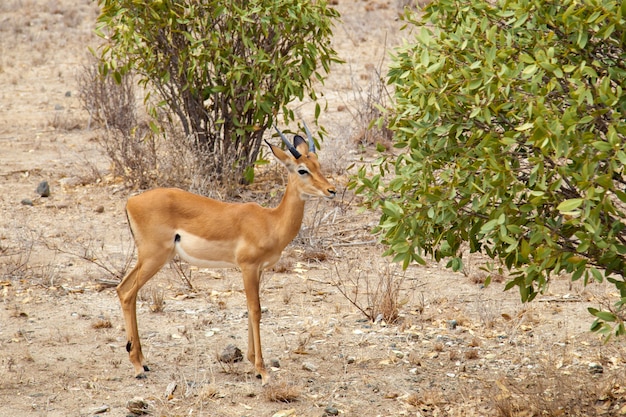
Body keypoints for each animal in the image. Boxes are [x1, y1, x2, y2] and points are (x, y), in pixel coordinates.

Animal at [114, 123, 334, 384]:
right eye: (302, 170)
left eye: (318, 164)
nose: (331, 190)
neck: (271, 221)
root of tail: (131, 201)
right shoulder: (248, 267)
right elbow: (255, 310)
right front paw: (262, 370)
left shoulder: (258, 270)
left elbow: (250, 309)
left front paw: (252, 361)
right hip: (153, 257)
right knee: (127, 293)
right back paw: (138, 366)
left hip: (149, 258)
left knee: (125, 290)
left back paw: (143, 362)